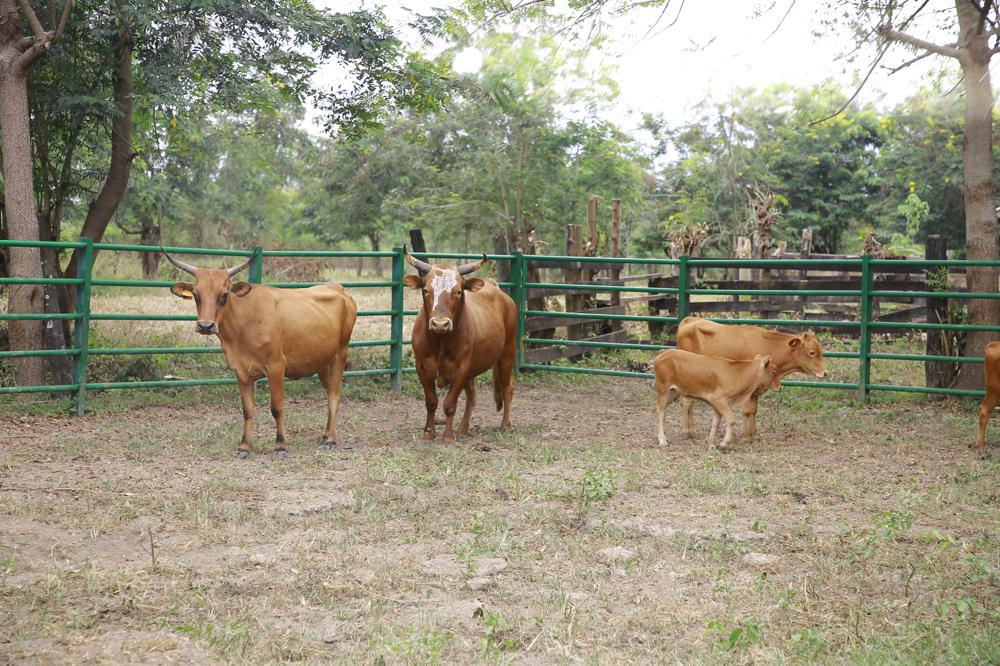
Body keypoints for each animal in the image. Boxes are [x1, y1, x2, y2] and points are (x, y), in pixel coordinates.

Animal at [167, 249, 360, 456]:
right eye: (196, 295)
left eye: (224, 295)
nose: (205, 326)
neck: (244, 323)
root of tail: (339, 289)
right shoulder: (240, 371)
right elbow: (247, 409)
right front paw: (245, 445)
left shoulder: (276, 367)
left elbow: (277, 407)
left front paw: (280, 444)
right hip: (323, 362)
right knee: (329, 392)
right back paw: (325, 435)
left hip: (340, 355)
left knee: (334, 395)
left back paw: (331, 438)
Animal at [404, 246, 520, 444]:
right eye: (425, 290)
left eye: (458, 291)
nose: (440, 324)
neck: (440, 342)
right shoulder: (421, 366)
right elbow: (431, 402)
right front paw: (428, 433)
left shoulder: (461, 367)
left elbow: (450, 404)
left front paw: (448, 437)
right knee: (472, 395)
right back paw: (463, 428)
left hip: (507, 353)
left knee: (507, 388)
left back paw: (505, 425)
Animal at [676, 318, 832, 440]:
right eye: (812, 352)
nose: (825, 373)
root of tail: (690, 320)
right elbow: (746, 410)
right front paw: (745, 436)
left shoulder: (756, 390)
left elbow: (753, 410)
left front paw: (753, 435)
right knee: (685, 402)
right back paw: (686, 430)